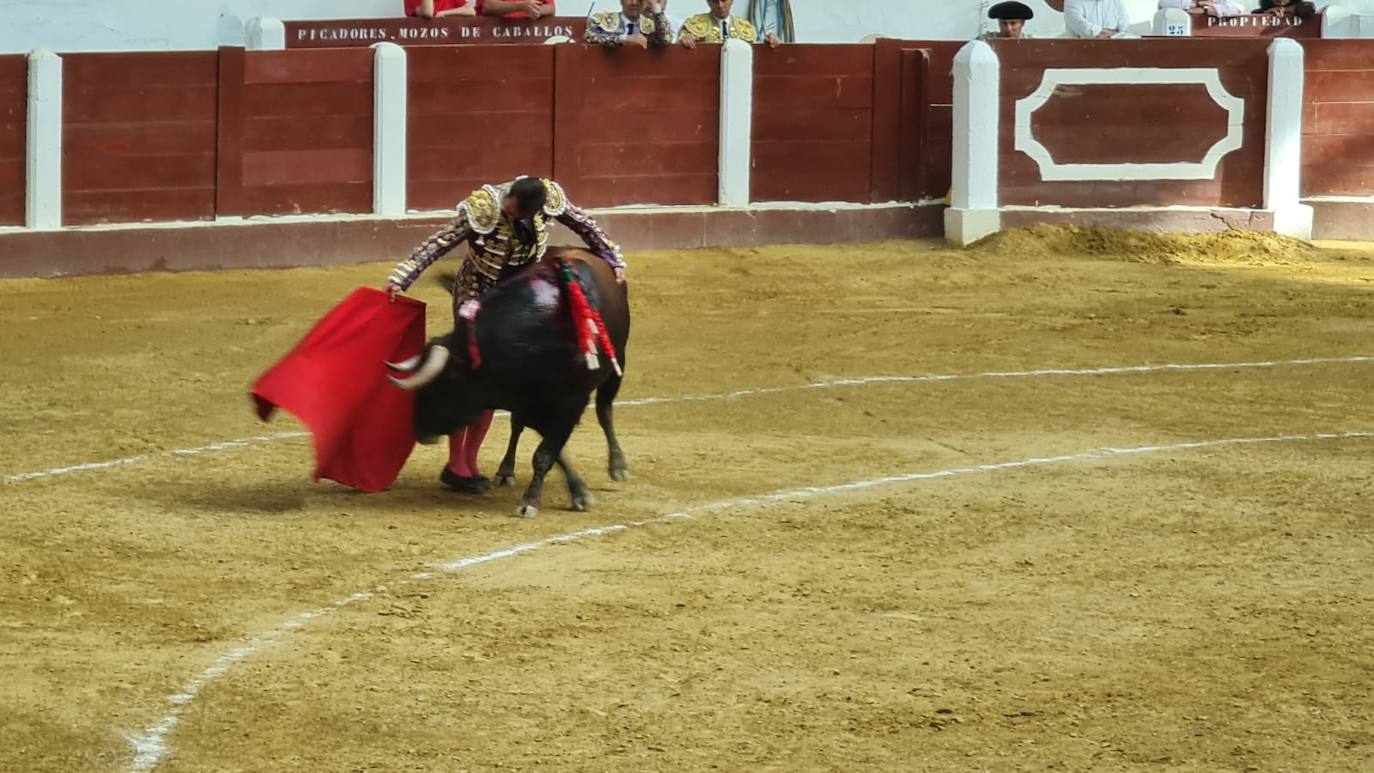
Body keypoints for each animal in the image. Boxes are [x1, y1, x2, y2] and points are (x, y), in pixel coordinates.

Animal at [390, 251, 629, 516]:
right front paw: (577, 491)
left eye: (448, 381)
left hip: (617, 364)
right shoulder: (529, 402)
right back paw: (505, 471)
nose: (419, 430)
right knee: (517, 428)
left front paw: (533, 501)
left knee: (604, 410)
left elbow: (546, 453)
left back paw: (618, 465)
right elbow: (553, 451)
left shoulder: (570, 402)